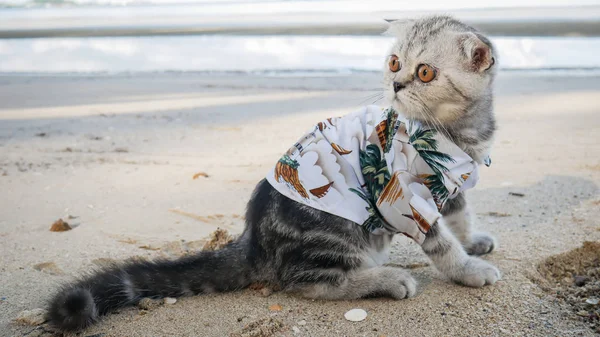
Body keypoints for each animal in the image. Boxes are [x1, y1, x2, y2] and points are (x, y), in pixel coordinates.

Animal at [47, 15, 500, 330]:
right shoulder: (404, 198)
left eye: (424, 72)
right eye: (393, 62)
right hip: (336, 230)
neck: (455, 135)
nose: (396, 85)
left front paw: (473, 242)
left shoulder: (449, 183)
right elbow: (442, 245)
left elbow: (460, 217)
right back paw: (385, 279)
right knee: (310, 283)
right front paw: (469, 270)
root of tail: (254, 242)